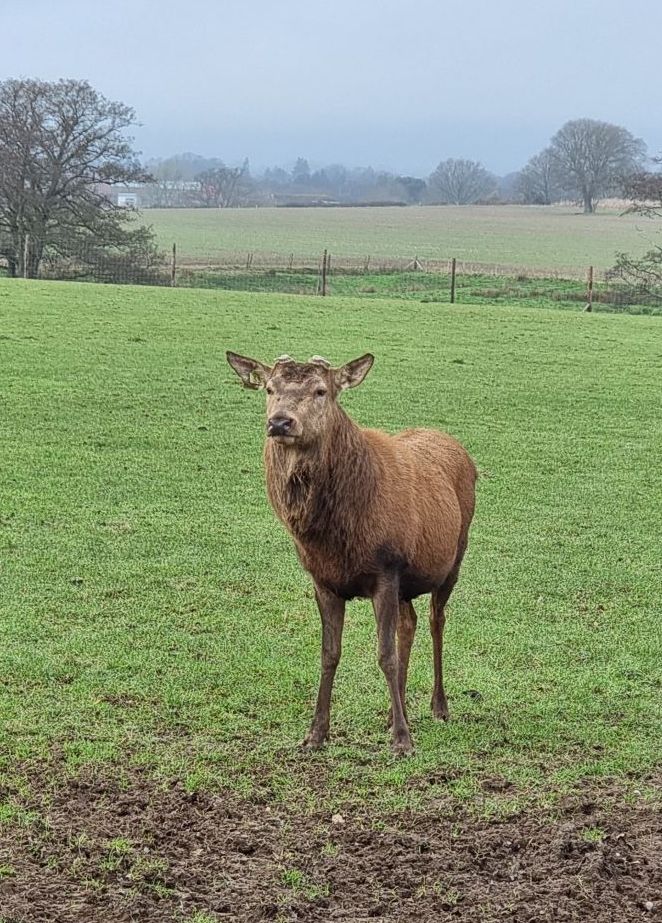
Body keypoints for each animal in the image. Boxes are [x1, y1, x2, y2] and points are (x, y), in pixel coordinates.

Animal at [226, 351, 477, 755]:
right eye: (269, 388)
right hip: (408, 581)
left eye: (321, 390)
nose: (280, 422)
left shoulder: (386, 569)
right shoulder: (323, 581)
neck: (332, 539)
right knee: (410, 622)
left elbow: (385, 655)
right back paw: (395, 710)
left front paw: (402, 741)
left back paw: (438, 707)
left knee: (436, 619)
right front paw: (315, 733)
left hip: (454, 557)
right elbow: (330, 654)